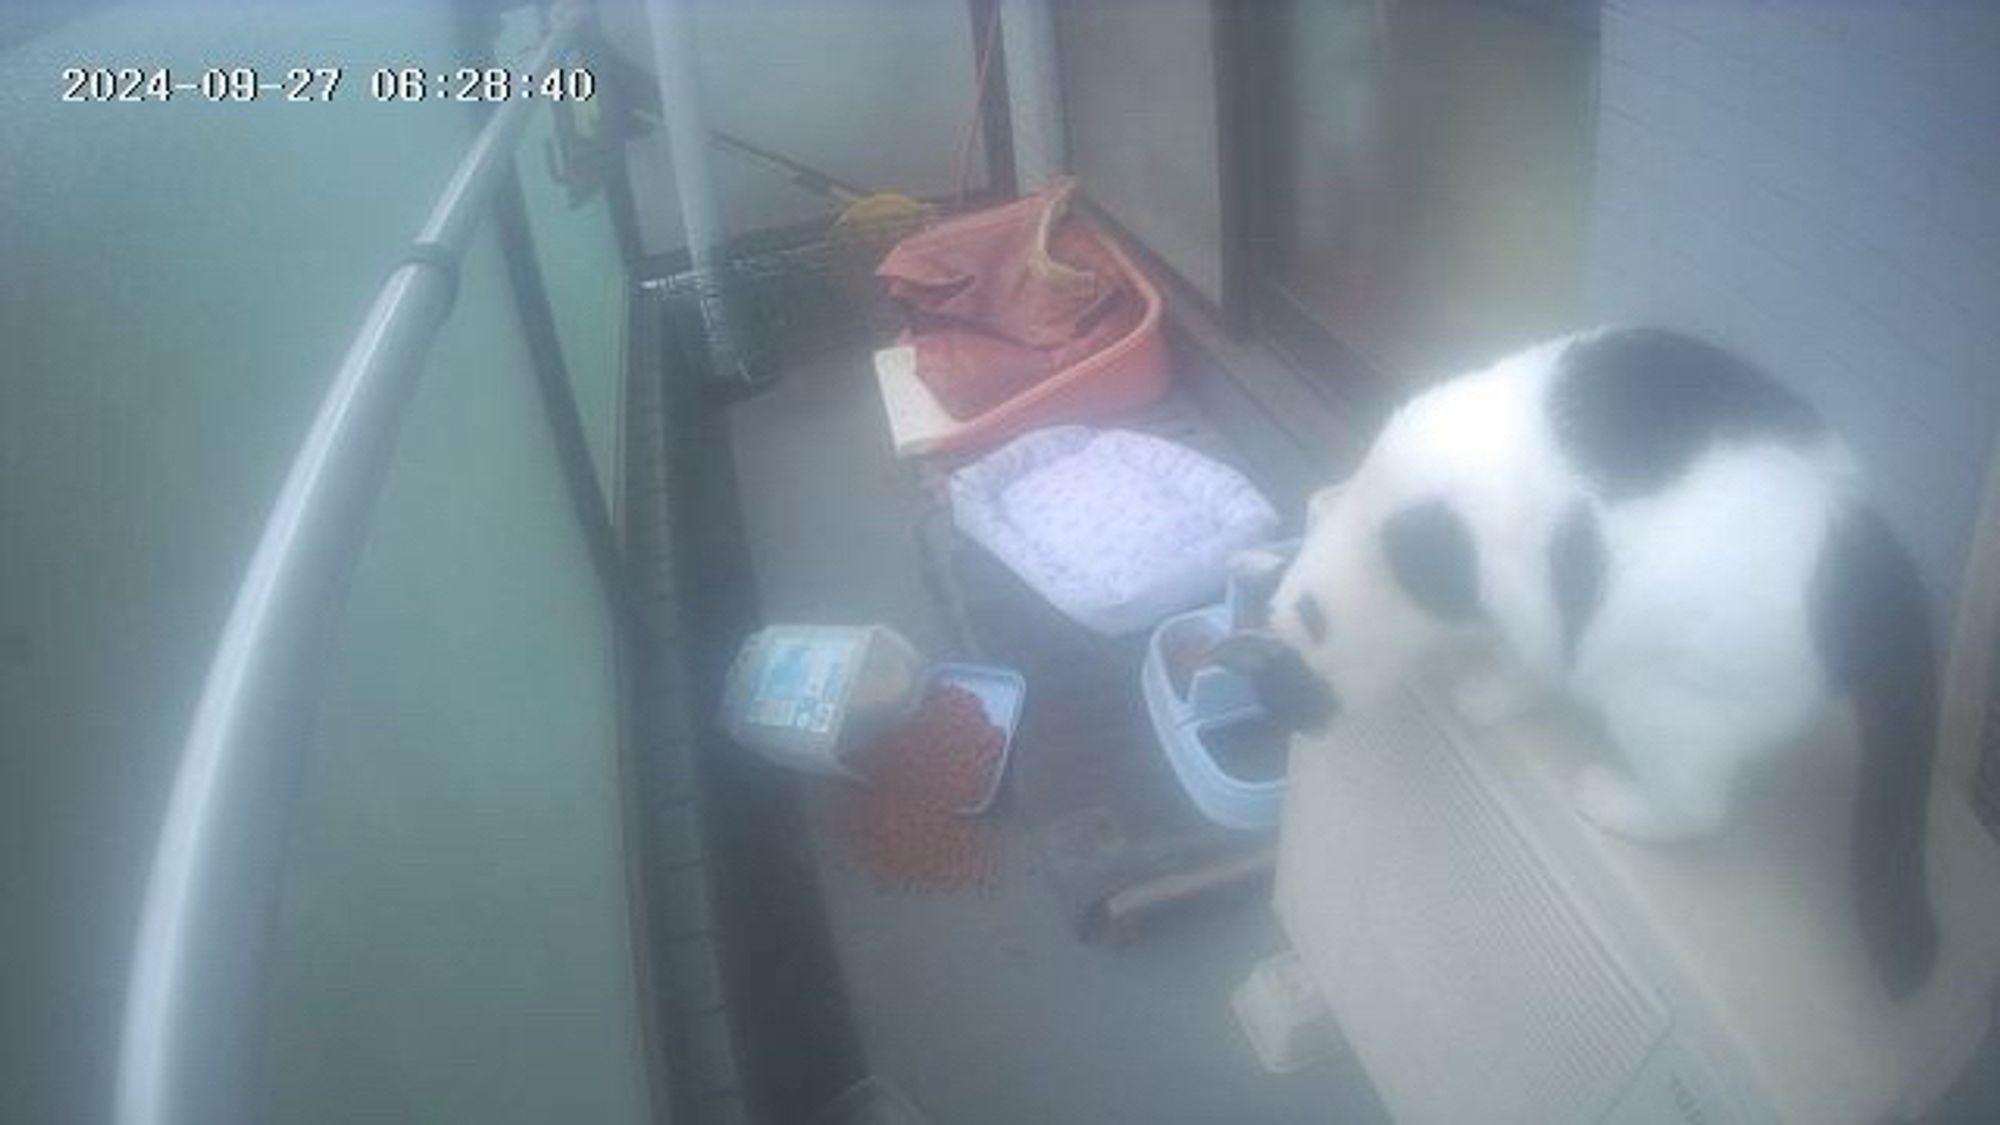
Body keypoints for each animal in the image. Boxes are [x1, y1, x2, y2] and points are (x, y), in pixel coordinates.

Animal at [1216, 328, 1936, 992]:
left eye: (1286, 701)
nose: (1301, 731)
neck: (1385, 541)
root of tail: (1871, 557)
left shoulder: (1528, 603)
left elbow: (1529, 664)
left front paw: (1491, 695)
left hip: (1658, 690)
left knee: (1697, 803)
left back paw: (1614, 799)